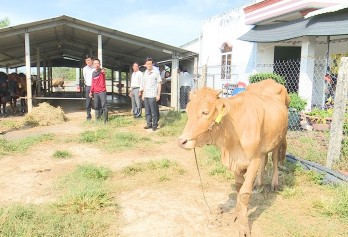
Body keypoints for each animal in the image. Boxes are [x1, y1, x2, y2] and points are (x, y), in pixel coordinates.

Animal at [178, 87, 286, 237]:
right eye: (188, 111)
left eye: (205, 112)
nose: (182, 141)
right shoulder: (236, 161)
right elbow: (239, 188)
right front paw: (237, 214)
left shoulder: (254, 160)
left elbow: (244, 193)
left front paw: (244, 227)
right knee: (264, 159)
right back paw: (259, 183)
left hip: (278, 139)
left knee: (275, 160)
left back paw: (274, 184)